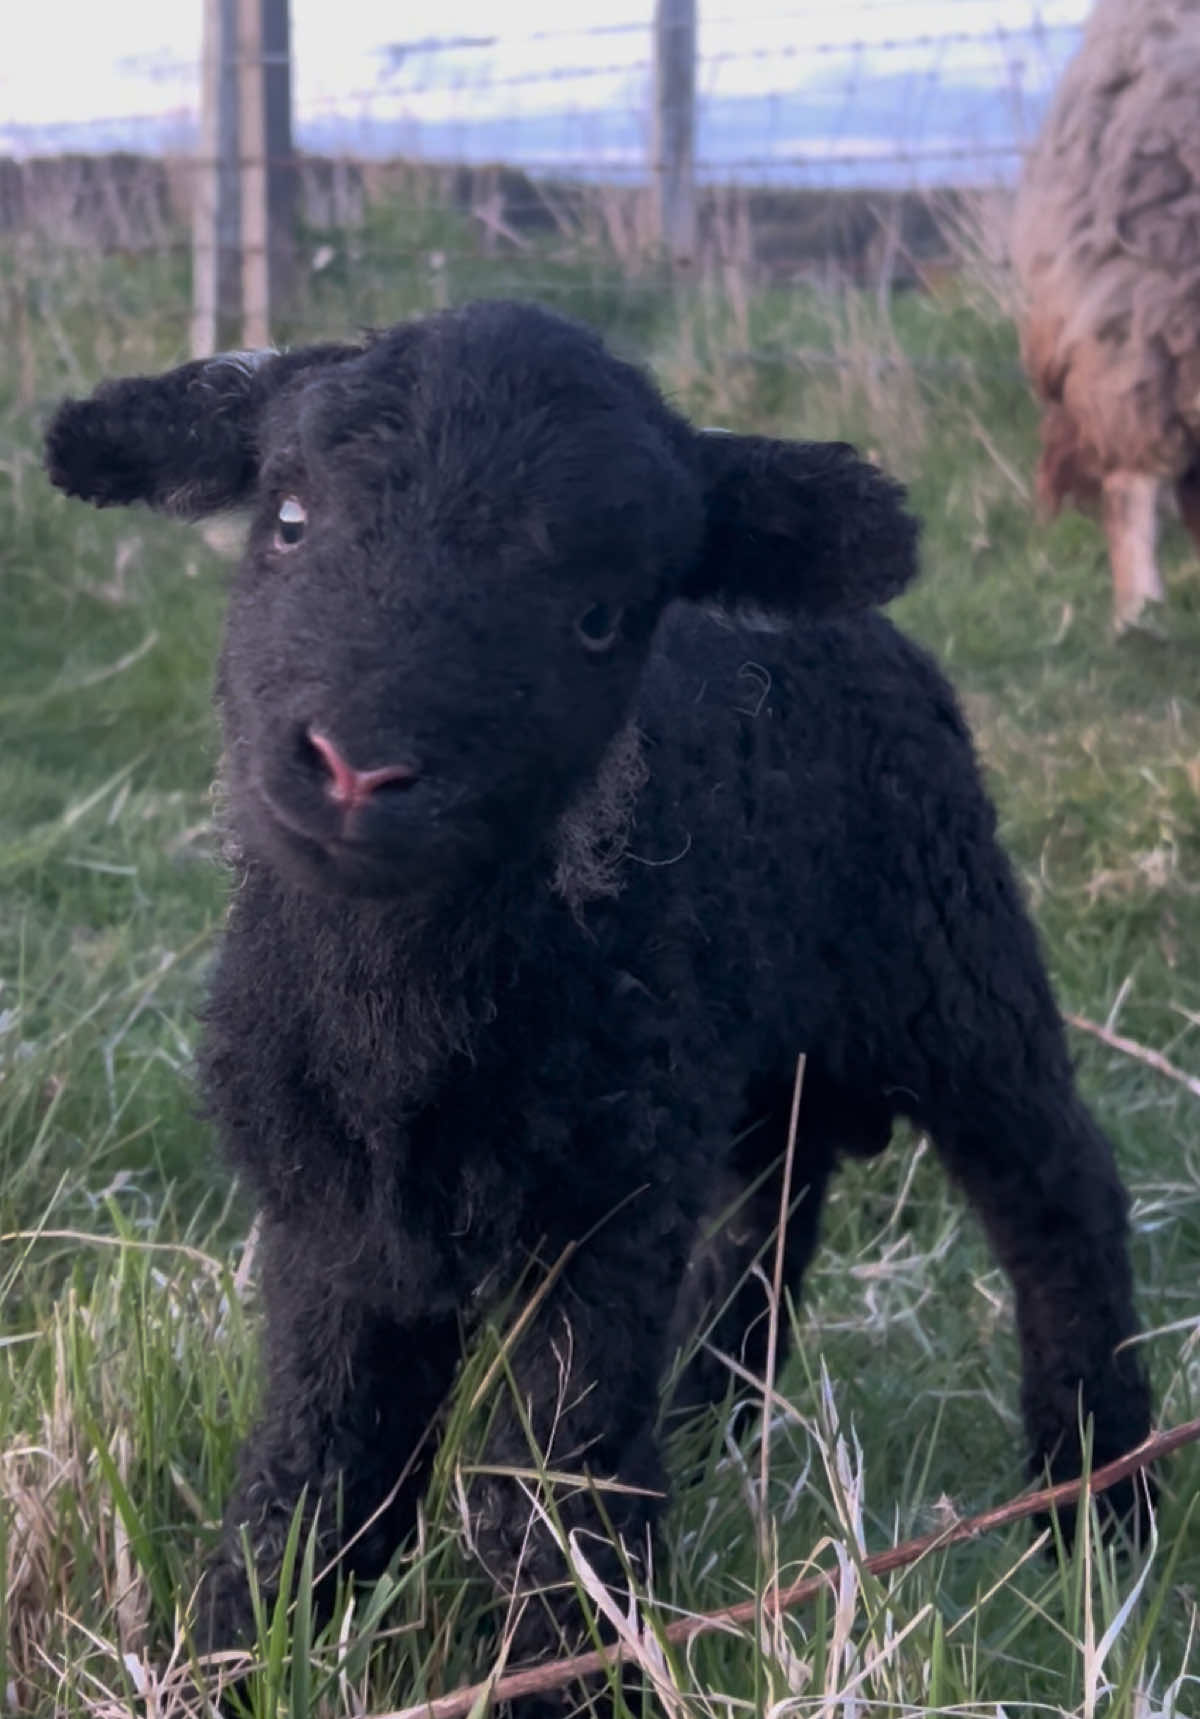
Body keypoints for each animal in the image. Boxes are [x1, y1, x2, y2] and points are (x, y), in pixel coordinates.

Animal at [44, 300, 1152, 1696]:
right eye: (287, 520)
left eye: (600, 616)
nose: (361, 768)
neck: (395, 1024)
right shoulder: (331, 1218)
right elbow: (317, 1465)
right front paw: (229, 1658)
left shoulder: (600, 1217)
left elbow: (552, 1490)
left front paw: (562, 1674)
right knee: (771, 1195)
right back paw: (716, 1416)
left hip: (949, 954)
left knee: (1055, 1189)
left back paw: (1100, 1503)